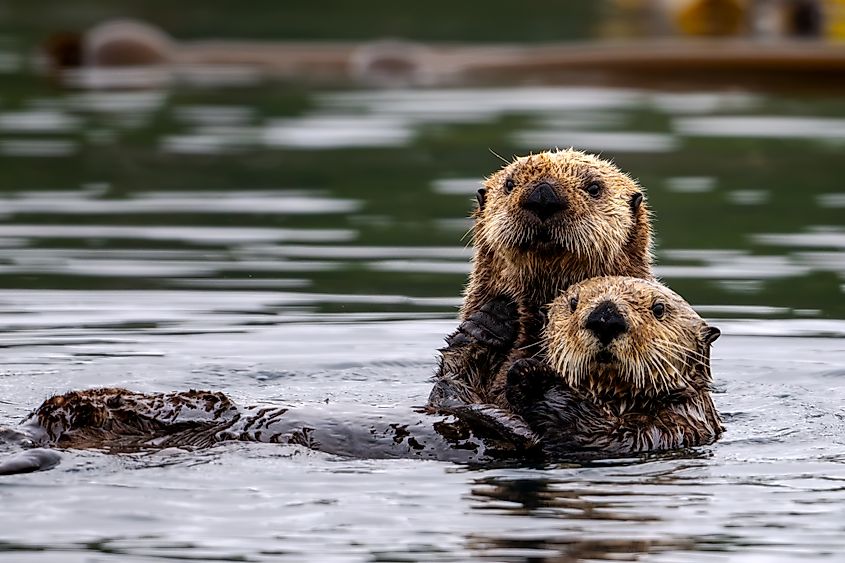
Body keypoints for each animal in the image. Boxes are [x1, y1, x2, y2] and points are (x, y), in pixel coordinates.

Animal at [504, 276, 723, 455]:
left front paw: (532, 377)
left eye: (659, 309)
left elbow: (611, 437)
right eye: (573, 303)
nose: (605, 318)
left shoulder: (678, 425)